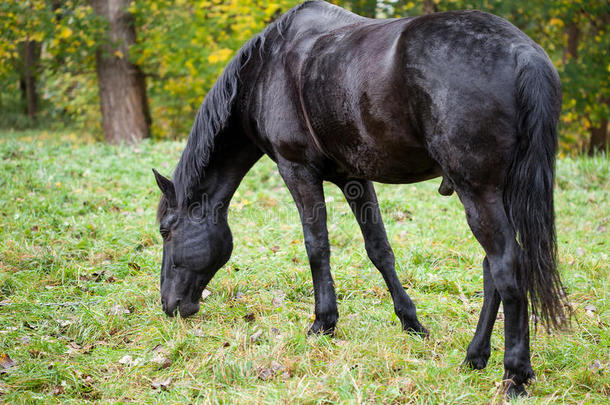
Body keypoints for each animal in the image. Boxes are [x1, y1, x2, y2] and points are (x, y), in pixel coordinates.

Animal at [151, 0, 564, 394]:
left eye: (166, 230)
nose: (169, 306)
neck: (267, 67)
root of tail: (523, 52)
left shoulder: (297, 170)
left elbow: (317, 247)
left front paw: (323, 323)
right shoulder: (354, 179)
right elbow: (378, 249)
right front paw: (411, 322)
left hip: (478, 192)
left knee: (507, 268)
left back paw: (514, 375)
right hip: (498, 193)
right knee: (491, 269)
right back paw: (475, 356)